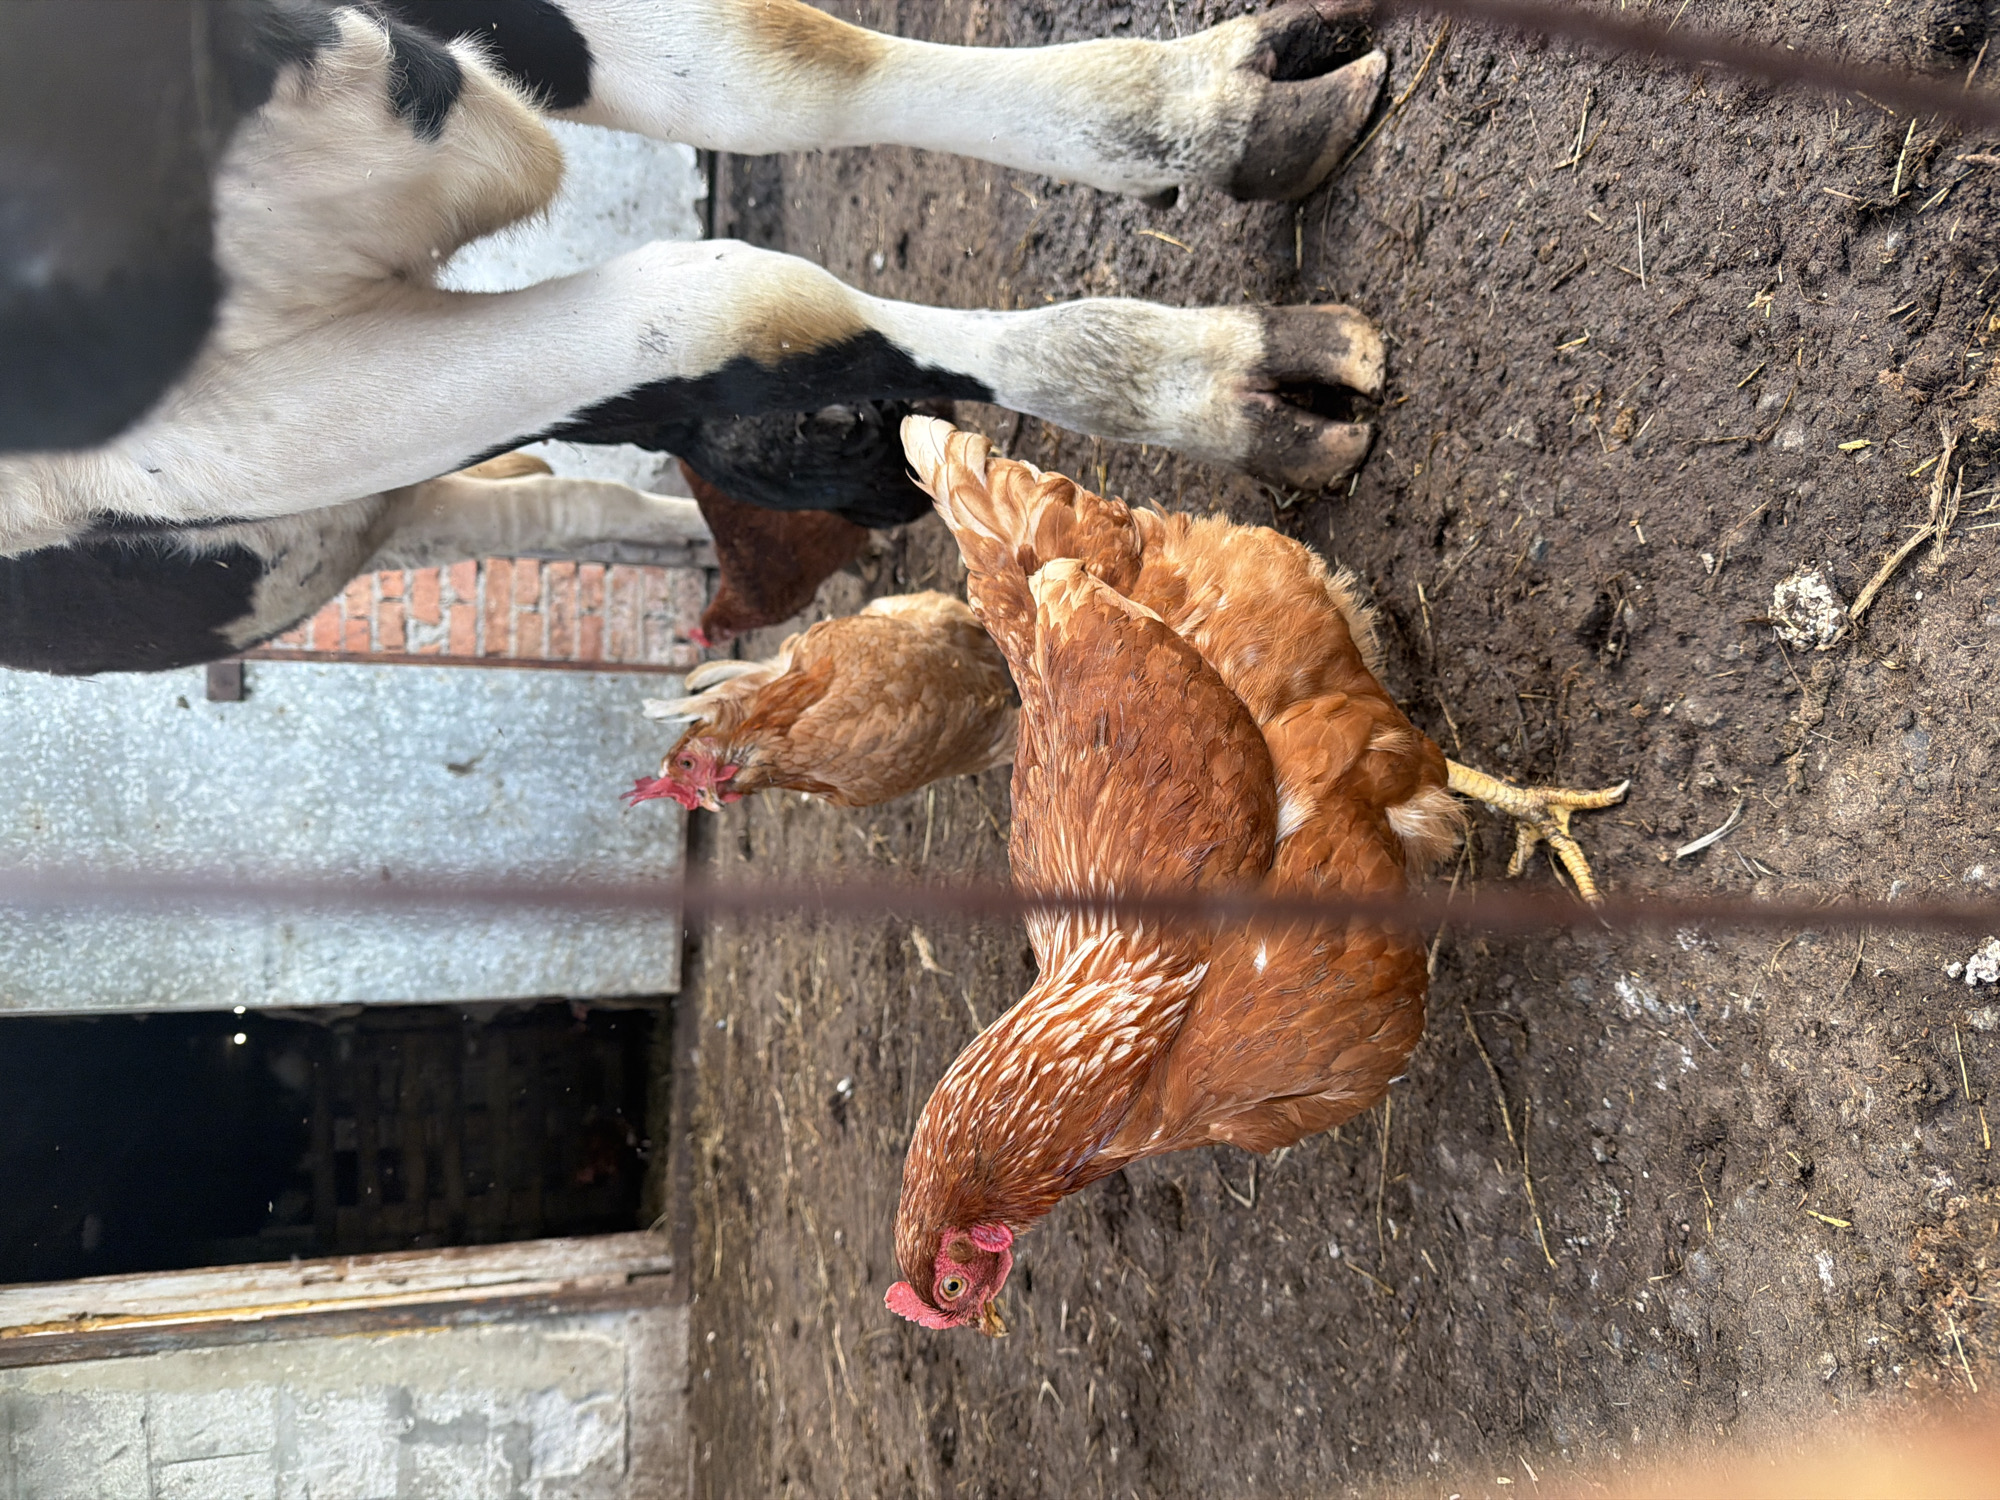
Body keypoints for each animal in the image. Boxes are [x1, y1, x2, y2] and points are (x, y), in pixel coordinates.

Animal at [0, 0, 1390, 675]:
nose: (892, 494)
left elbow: (773, 66)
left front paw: (1227, 106)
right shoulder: (211, 427)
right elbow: (733, 297)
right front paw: (1221, 381)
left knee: (540, 504)